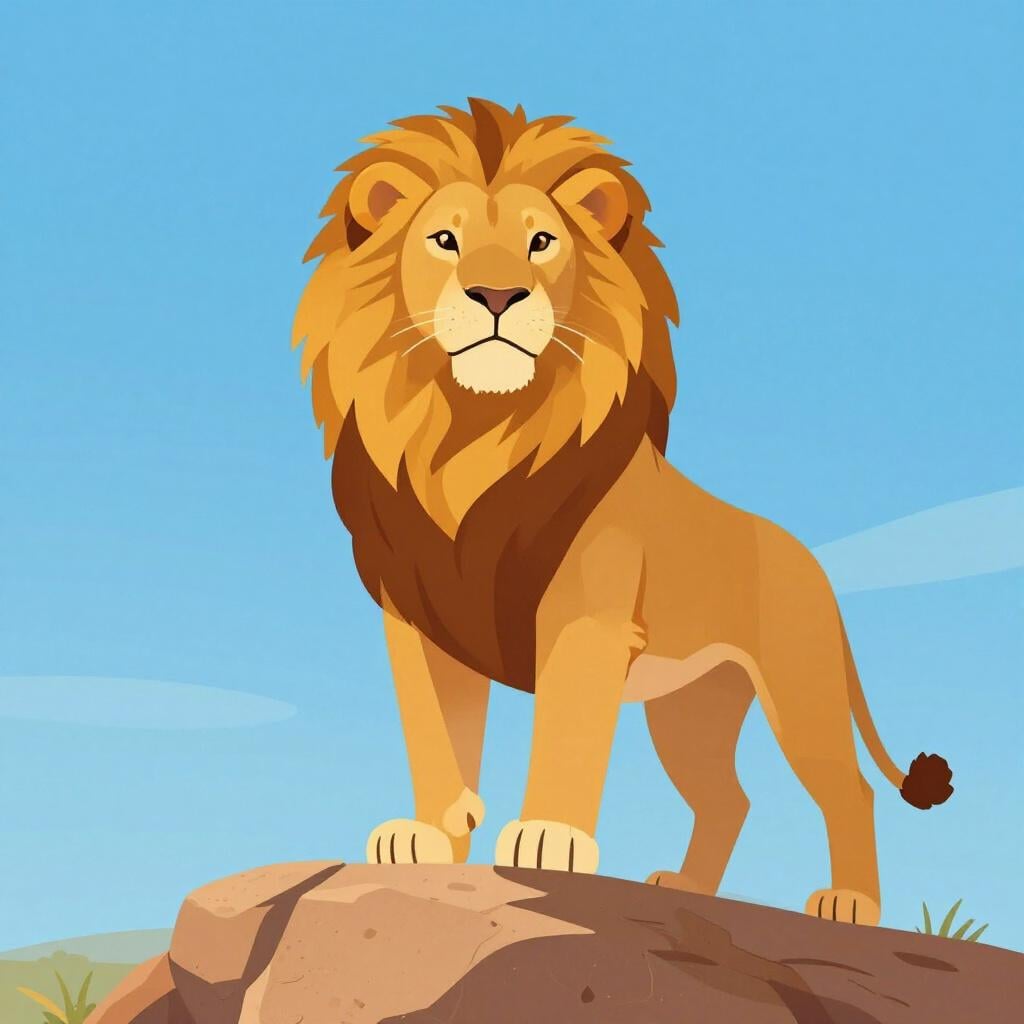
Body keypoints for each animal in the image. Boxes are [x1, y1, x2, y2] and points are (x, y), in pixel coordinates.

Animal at [292, 97, 953, 926]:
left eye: (541, 242)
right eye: (445, 240)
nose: (498, 298)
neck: (471, 433)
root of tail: (812, 564)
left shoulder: (585, 615)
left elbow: (566, 731)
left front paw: (549, 837)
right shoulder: (415, 616)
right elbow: (433, 733)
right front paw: (430, 835)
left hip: (800, 693)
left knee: (848, 789)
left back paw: (851, 902)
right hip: (690, 709)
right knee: (728, 799)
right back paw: (689, 888)